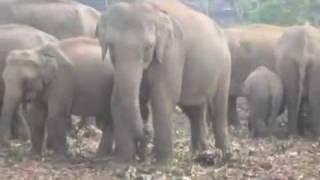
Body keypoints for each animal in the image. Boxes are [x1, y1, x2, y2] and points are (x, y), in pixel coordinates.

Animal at [96, 0, 231, 163]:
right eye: (111, 45)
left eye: (148, 47)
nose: (147, 130)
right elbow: (116, 100)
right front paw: (121, 163)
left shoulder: (172, 51)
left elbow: (163, 98)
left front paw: (163, 164)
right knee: (194, 109)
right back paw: (199, 153)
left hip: (224, 67)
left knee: (219, 107)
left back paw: (224, 155)